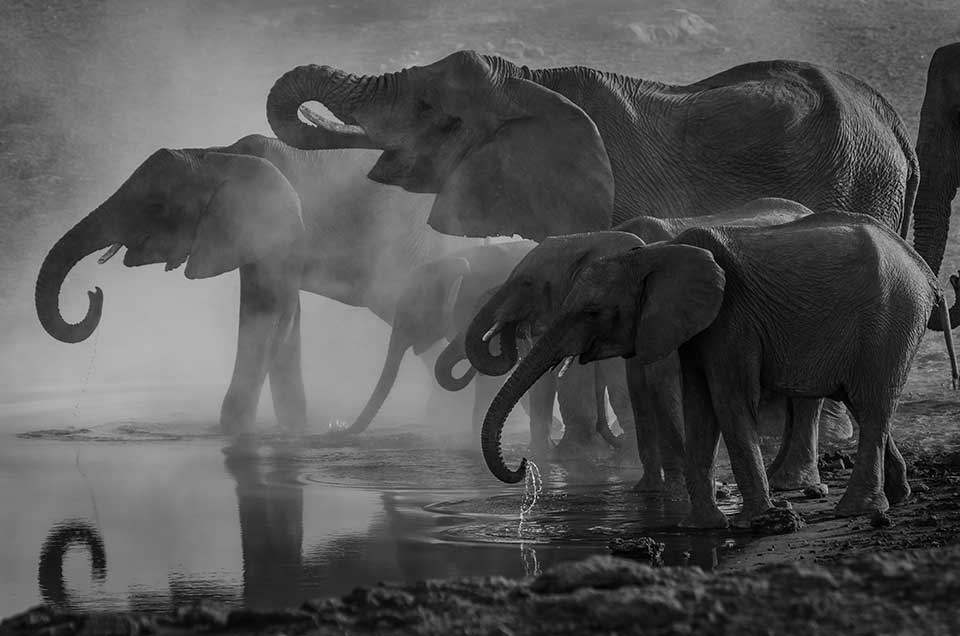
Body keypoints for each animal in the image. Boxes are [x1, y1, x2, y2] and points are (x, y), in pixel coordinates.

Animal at [34, 134, 487, 434]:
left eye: (156, 206)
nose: (94, 294)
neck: (217, 154)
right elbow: (282, 319)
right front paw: (294, 430)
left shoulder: (276, 226)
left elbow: (267, 318)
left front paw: (234, 434)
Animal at [479, 212, 945, 529]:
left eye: (592, 312)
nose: (523, 465)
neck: (654, 255)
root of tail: (921, 267)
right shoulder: (688, 325)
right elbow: (698, 401)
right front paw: (704, 525)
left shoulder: (731, 318)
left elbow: (728, 398)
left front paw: (760, 521)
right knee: (866, 405)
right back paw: (897, 496)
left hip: (892, 320)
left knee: (872, 404)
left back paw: (855, 509)